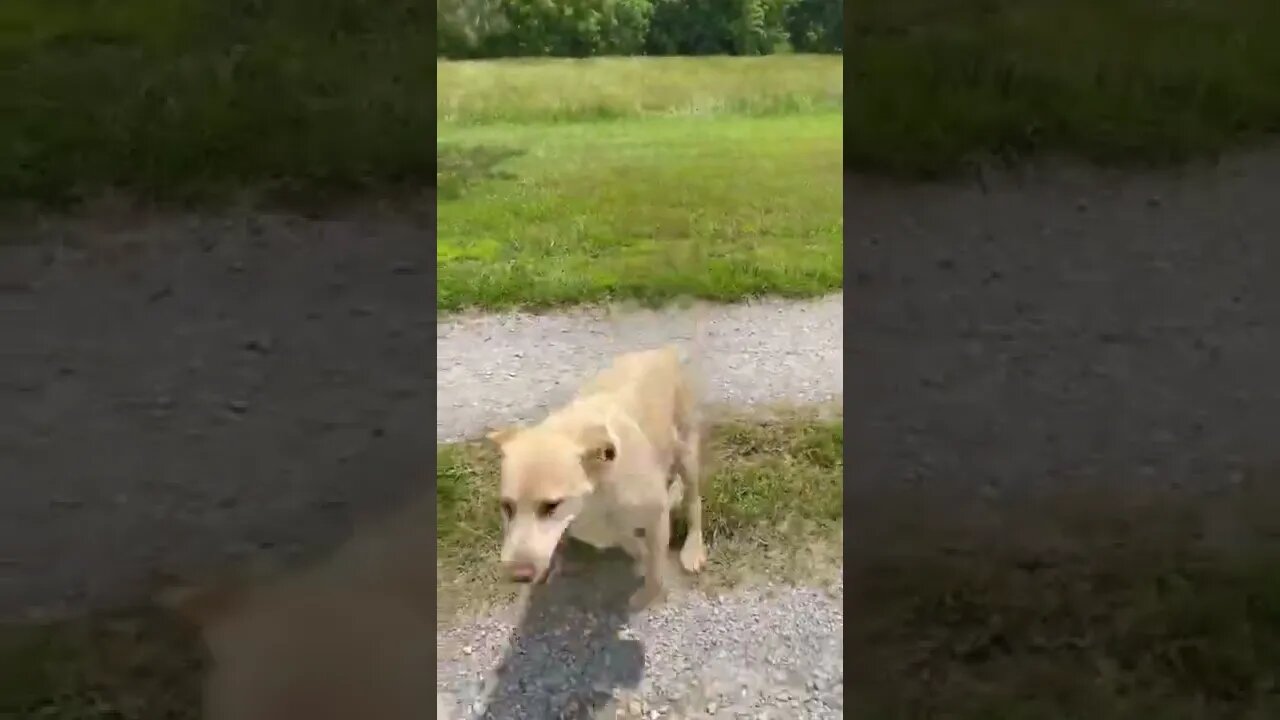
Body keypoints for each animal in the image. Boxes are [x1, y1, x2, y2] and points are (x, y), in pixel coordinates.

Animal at [488, 345, 711, 607]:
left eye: (551, 505)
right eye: (507, 506)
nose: (519, 575)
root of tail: (661, 351)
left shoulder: (656, 518)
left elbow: (655, 570)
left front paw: (646, 595)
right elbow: (629, 542)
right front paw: (639, 554)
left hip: (686, 451)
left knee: (694, 501)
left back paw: (693, 548)